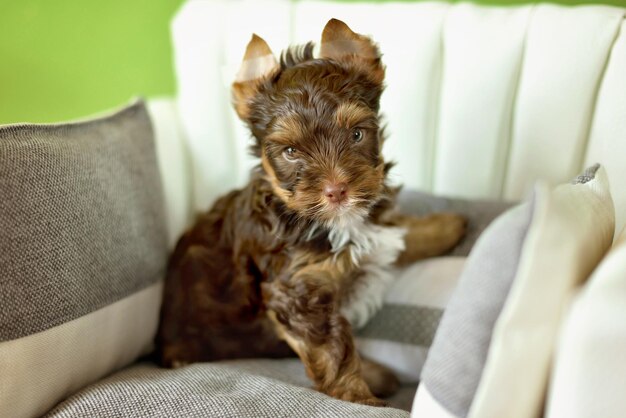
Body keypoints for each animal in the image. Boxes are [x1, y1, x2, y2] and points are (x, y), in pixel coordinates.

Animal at [155, 18, 464, 404]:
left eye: (357, 134)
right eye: (290, 152)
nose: (337, 190)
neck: (331, 222)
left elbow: (396, 231)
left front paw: (448, 227)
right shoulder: (296, 292)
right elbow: (332, 352)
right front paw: (360, 400)